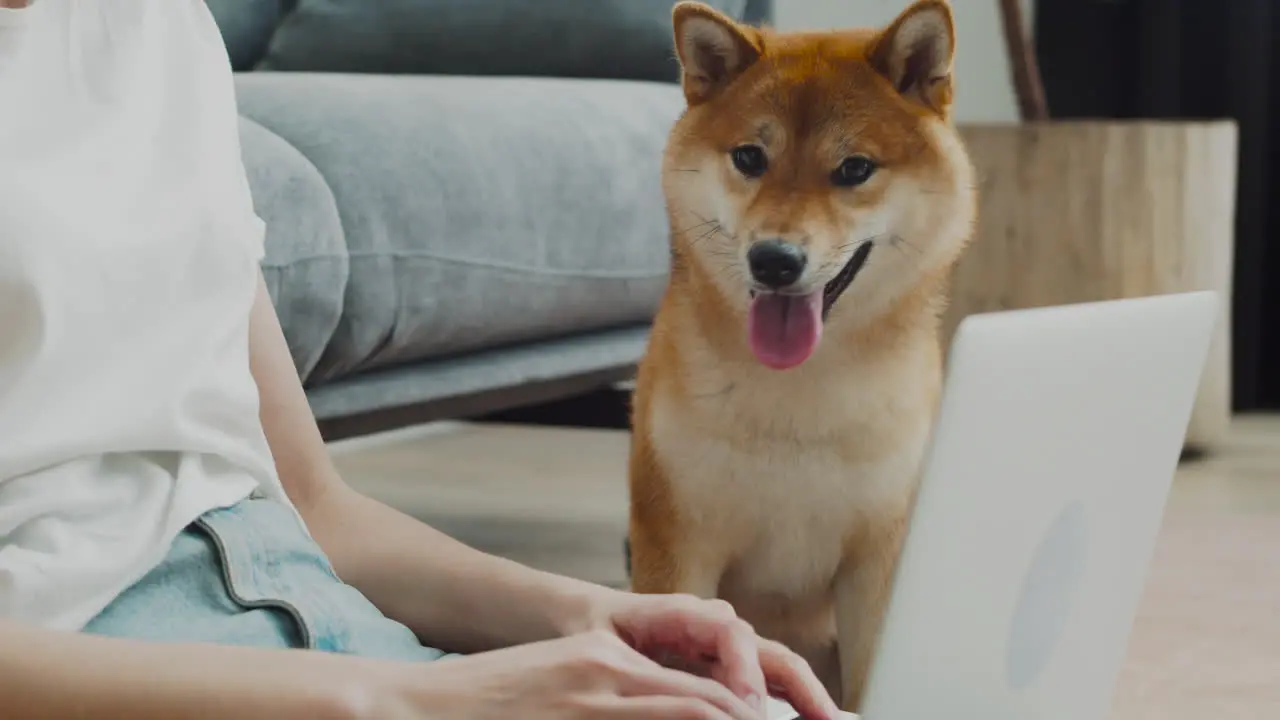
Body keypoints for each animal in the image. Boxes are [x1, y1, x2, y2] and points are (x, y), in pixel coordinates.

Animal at [624, 0, 972, 707]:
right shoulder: (679, 548)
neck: (799, 398)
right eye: (750, 157)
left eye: (854, 169)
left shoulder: (877, 564)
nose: (775, 260)